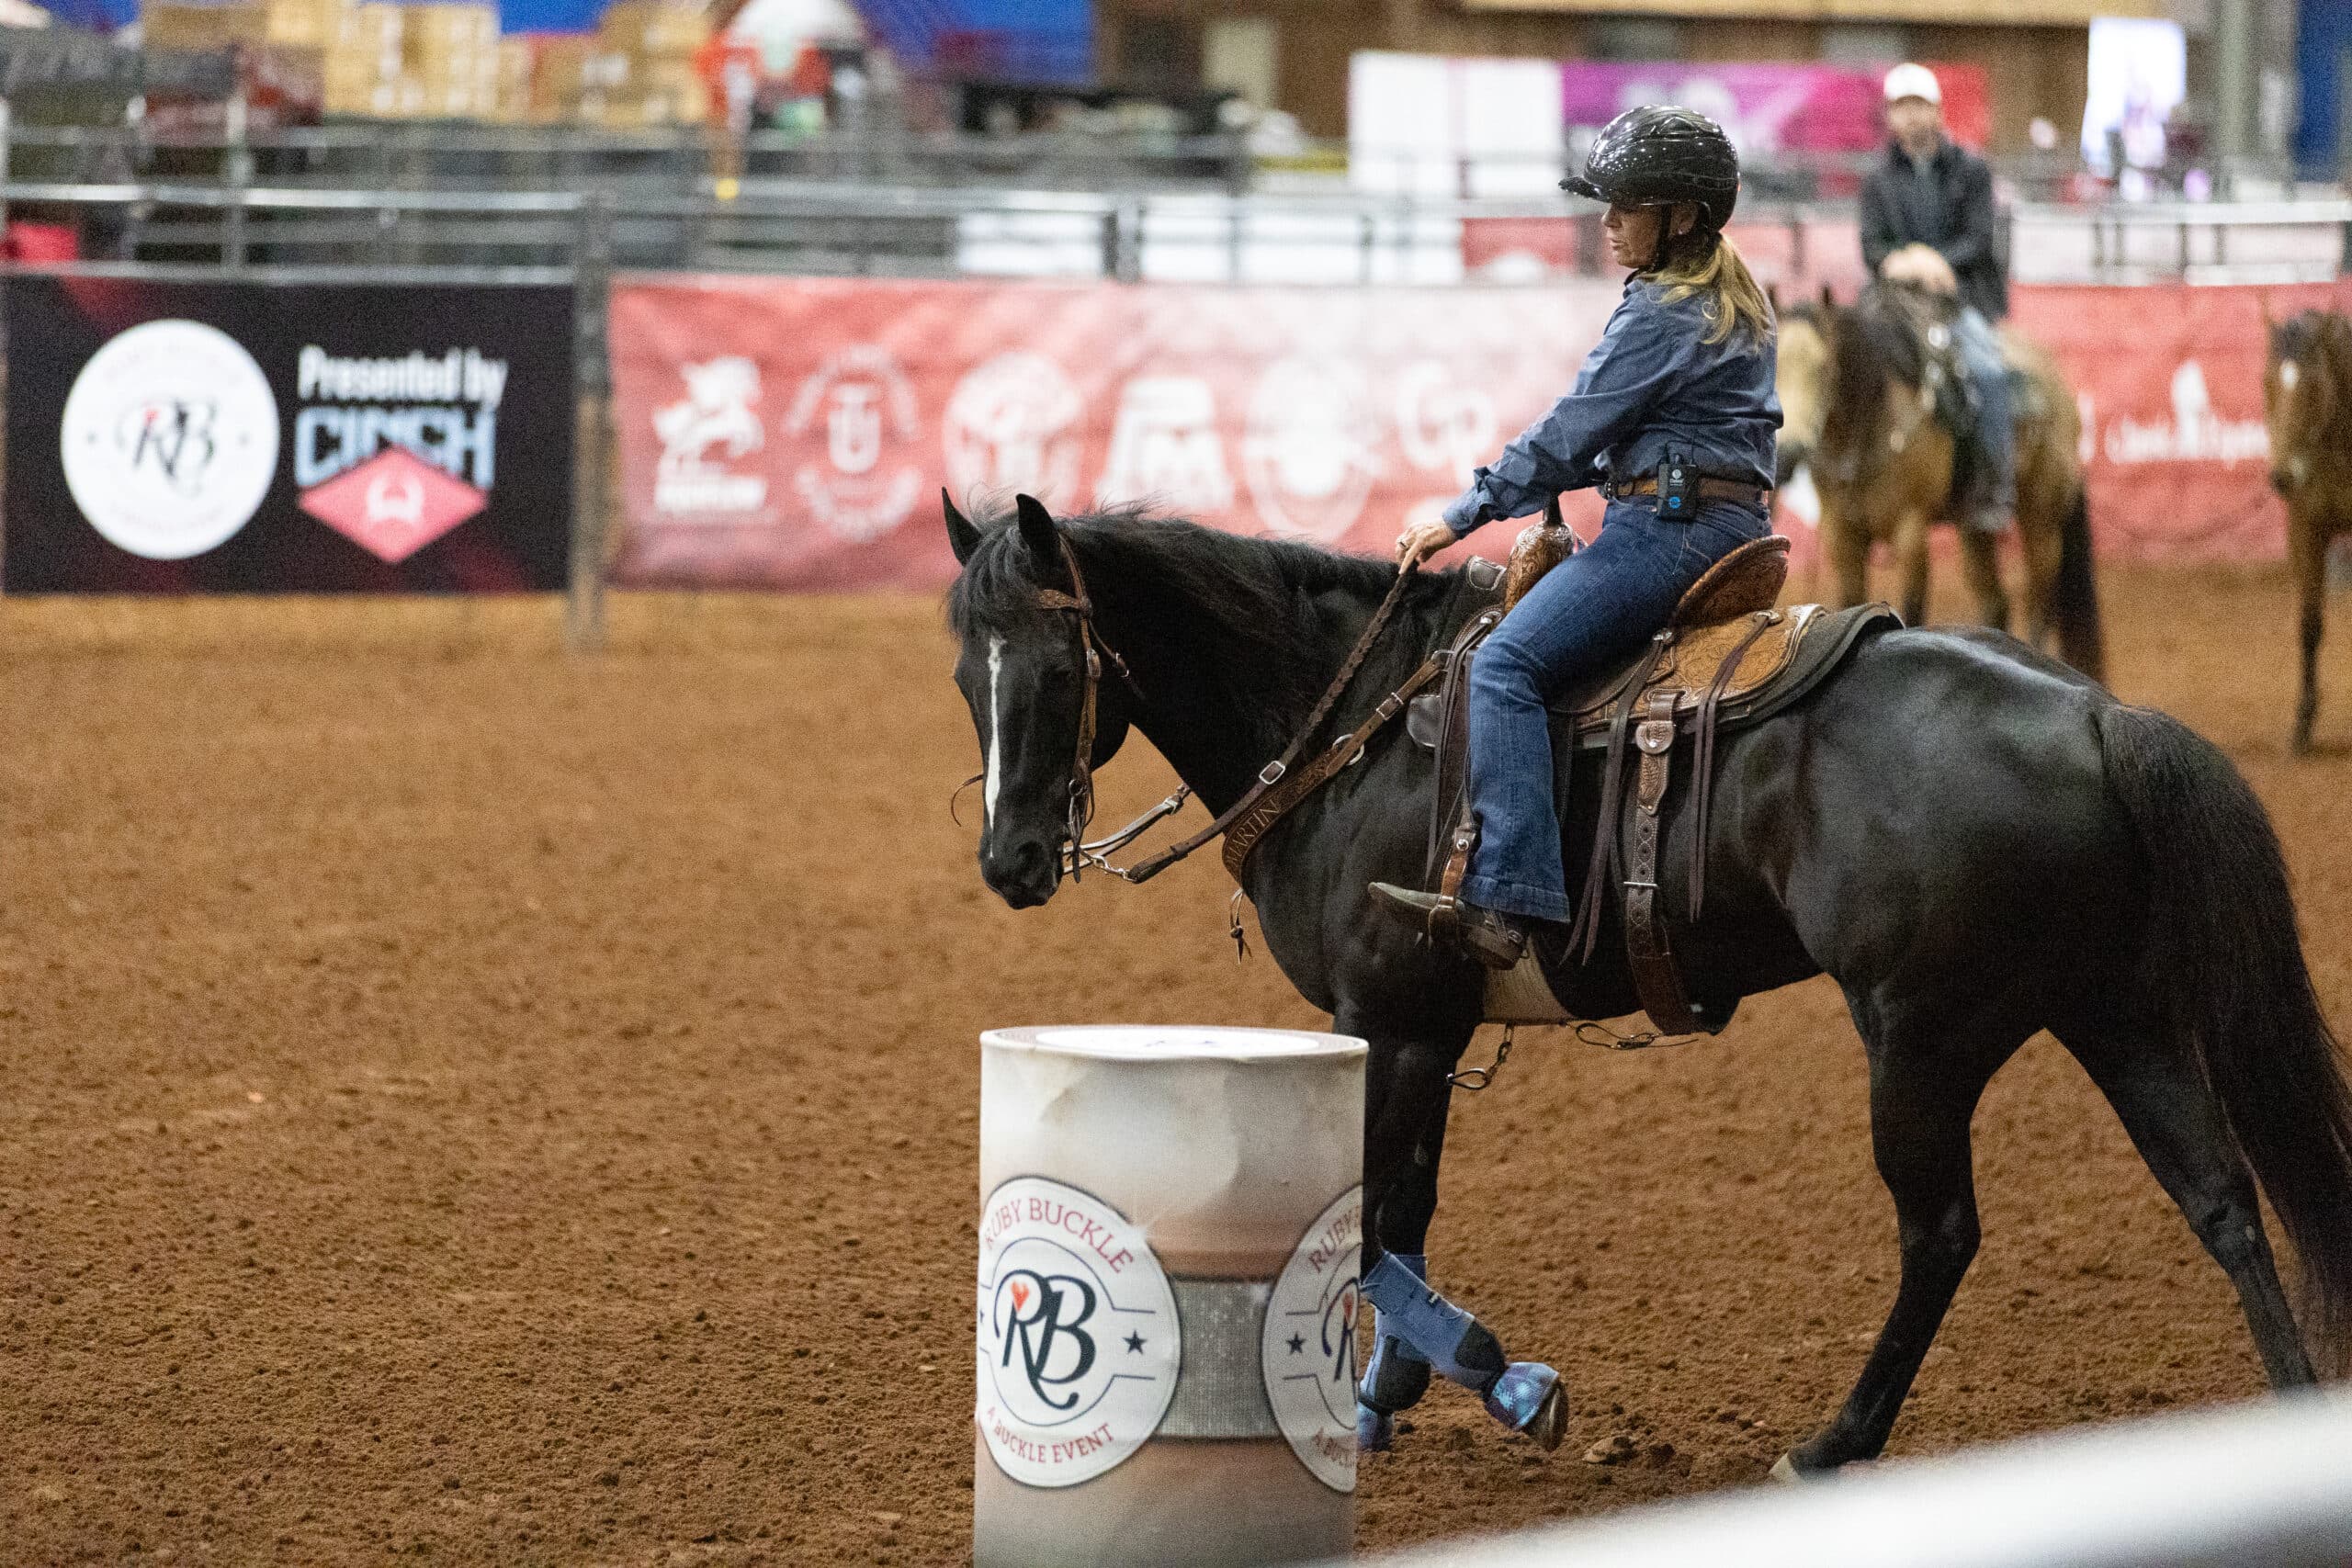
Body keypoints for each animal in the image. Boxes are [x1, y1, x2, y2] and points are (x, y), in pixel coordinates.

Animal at [941, 491, 2352, 1477]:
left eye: (1058, 671)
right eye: (966, 677)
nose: (1011, 862)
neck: (1349, 726)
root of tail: (2092, 712)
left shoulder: (1384, 1020)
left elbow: (1377, 1224)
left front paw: (1492, 1378)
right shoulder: (1430, 1028)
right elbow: (1404, 1206)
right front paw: (1385, 1398)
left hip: (1921, 1038)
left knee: (1942, 1231)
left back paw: (1834, 1440)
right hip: (2116, 1012)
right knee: (2222, 1196)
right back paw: (2286, 1401)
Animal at [1775, 286, 2106, 682]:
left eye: (1823, 368)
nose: (1787, 454)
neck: (1869, 425)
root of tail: (2059, 389)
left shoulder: (1911, 530)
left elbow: (1912, 609)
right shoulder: (1842, 535)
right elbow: (1849, 603)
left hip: (2040, 519)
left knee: (2039, 603)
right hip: (1976, 530)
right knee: (1997, 600)